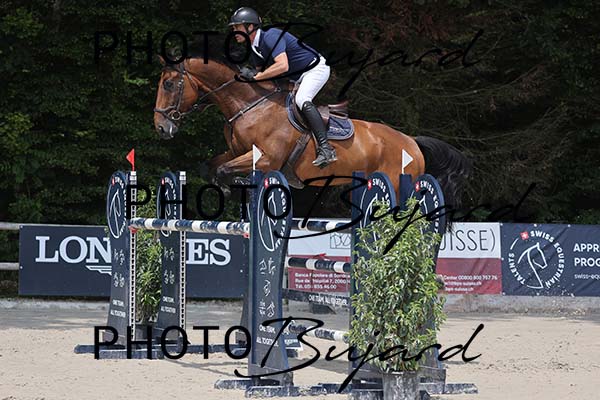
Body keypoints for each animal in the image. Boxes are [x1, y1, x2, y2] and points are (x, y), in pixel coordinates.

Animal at [153, 53, 471, 208]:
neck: (249, 105)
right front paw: (225, 188)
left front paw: (233, 187)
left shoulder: (266, 159)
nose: (161, 127)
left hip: (396, 185)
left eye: (168, 84)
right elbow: (210, 166)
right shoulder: (236, 152)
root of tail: (411, 141)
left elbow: (224, 170)